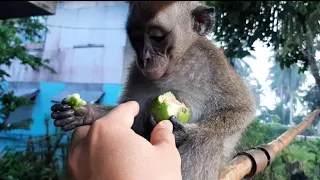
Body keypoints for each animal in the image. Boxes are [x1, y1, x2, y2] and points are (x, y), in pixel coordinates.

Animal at [50, 1, 255, 180]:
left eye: (157, 37)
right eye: (137, 38)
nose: (145, 58)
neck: (177, 63)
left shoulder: (213, 62)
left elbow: (242, 109)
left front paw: (190, 132)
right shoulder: (136, 71)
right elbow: (133, 116)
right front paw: (84, 113)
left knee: (206, 144)